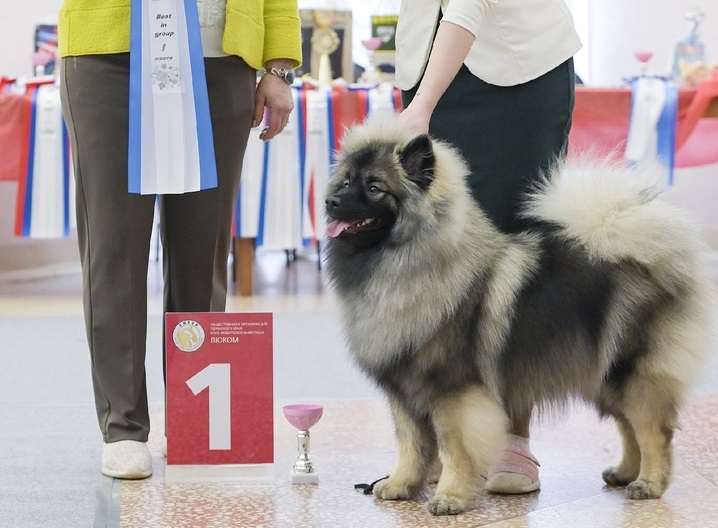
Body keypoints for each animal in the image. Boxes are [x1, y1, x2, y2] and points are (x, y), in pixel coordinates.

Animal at [324, 115, 716, 516]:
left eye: (374, 188)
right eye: (346, 182)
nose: (330, 201)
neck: (404, 263)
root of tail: (654, 255)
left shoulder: (453, 393)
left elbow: (454, 450)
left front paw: (448, 497)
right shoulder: (404, 393)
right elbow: (410, 445)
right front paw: (401, 484)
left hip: (633, 372)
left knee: (653, 431)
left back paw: (649, 483)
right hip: (605, 374)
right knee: (628, 426)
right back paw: (624, 473)